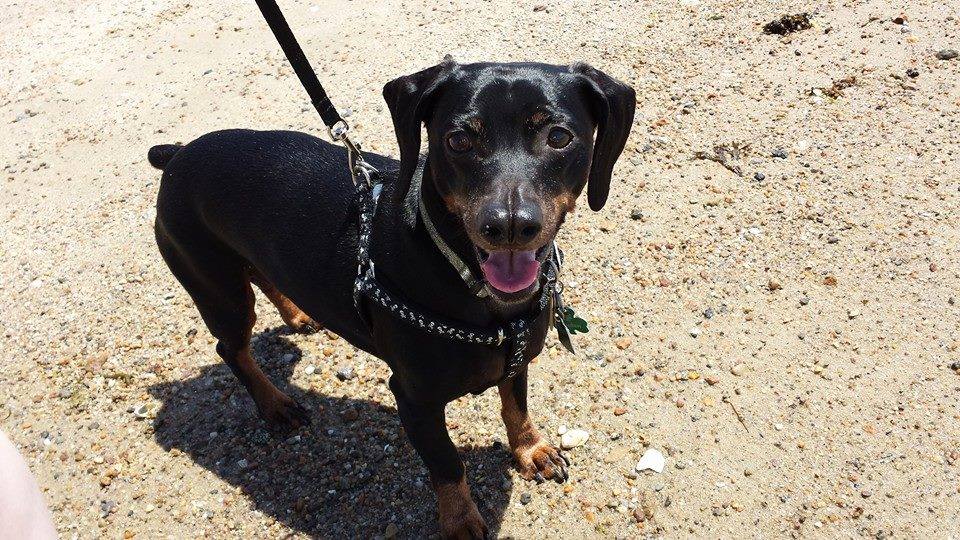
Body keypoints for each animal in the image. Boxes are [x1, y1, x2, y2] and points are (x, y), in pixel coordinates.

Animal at [149, 59, 634, 538]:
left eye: (559, 137)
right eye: (458, 140)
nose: (509, 226)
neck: (469, 281)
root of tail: (177, 155)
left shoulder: (515, 359)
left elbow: (516, 406)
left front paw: (531, 450)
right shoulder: (414, 399)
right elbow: (447, 465)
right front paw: (461, 522)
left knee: (265, 280)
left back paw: (298, 316)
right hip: (217, 286)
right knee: (230, 348)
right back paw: (275, 405)